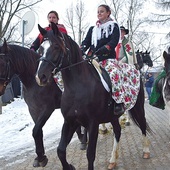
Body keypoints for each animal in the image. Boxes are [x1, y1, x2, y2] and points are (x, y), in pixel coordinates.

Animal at [0, 39, 83, 167]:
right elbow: (38, 131)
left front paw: (40, 155)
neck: (33, 82)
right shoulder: (33, 110)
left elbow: (35, 131)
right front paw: (41, 157)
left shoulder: (47, 109)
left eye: (3, 63)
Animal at [35, 22, 151, 170]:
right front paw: (69, 166)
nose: (40, 77)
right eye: (40, 49)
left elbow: (90, 154)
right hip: (112, 116)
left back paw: (146, 151)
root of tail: (136, 70)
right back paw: (112, 160)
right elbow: (60, 150)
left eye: (56, 46)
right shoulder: (70, 121)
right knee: (118, 131)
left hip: (138, 107)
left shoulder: (93, 123)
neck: (77, 89)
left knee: (142, 125)